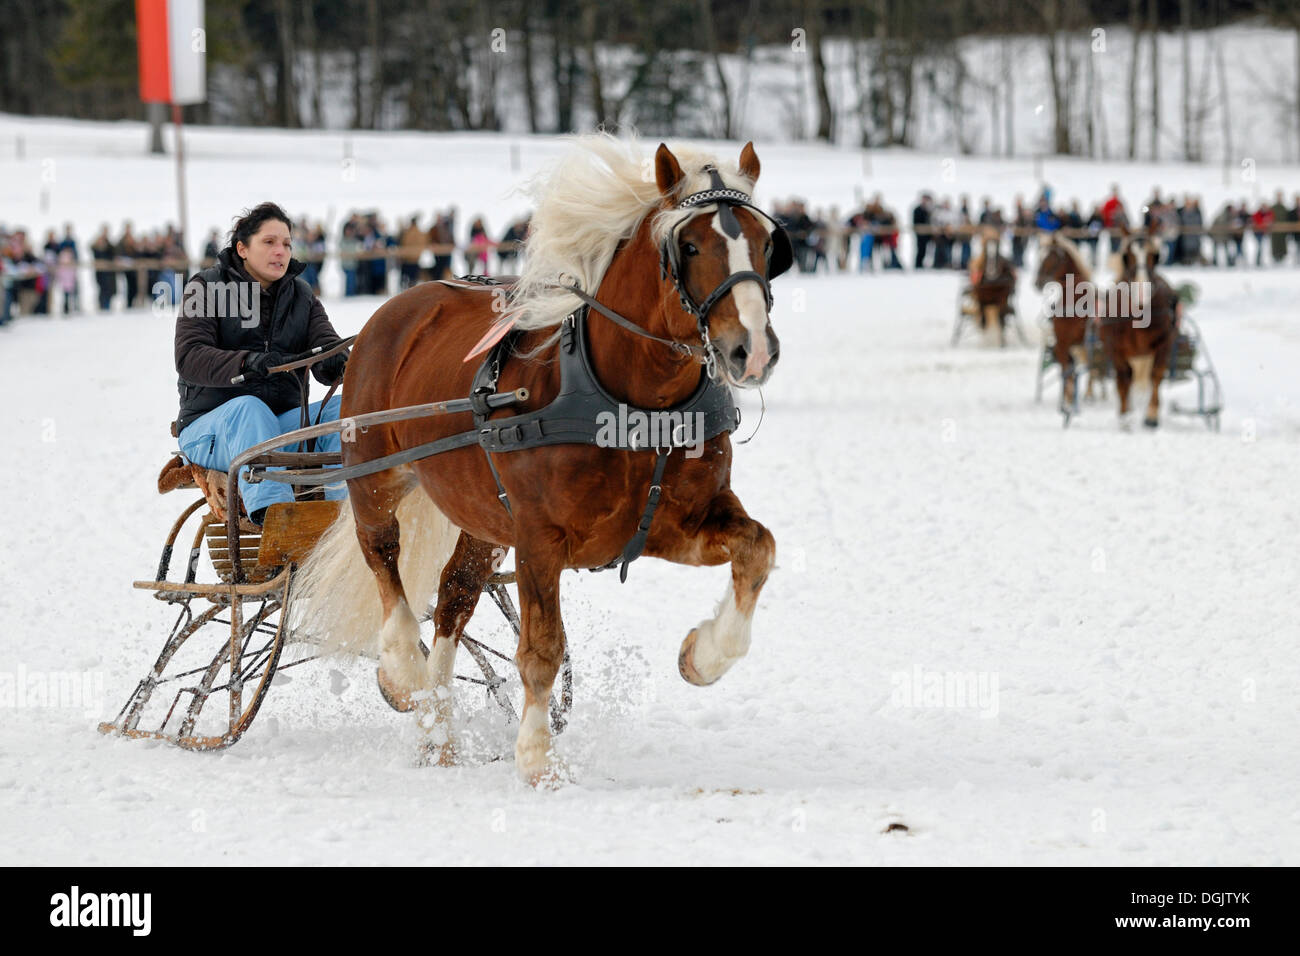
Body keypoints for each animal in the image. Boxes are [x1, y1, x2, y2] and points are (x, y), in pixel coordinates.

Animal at [291, 136, 784, 786]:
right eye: (690, 245)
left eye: (767, 242)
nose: (752, 350)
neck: (634, 401)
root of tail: (398, 308)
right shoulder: (539, 537)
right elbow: (541, 649)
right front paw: (537, 759)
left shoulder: (676, 524)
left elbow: (758, 548)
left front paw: (703, 655)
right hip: (373, 474)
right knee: (383, 556)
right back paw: (401, 674)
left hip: (483, 519)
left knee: (453, 597)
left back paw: (437, 728)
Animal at [1034, 233, 1104, 418]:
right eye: (1040, 256)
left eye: (1051, 258)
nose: (1037, 282)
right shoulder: (1065, 345)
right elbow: (1068, 372)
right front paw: (1068, 400)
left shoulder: (1071, 344)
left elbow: (1071, 372)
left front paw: (1069, 403)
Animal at [1097, 236, 1180, 429]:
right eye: (1126, 256)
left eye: (1155, 256)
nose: (1142, 291)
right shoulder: (1115, 347)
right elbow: (1123, 378)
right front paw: (1125, 417)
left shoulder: (1164, 343)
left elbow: (1156, 375)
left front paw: (1151, 416)